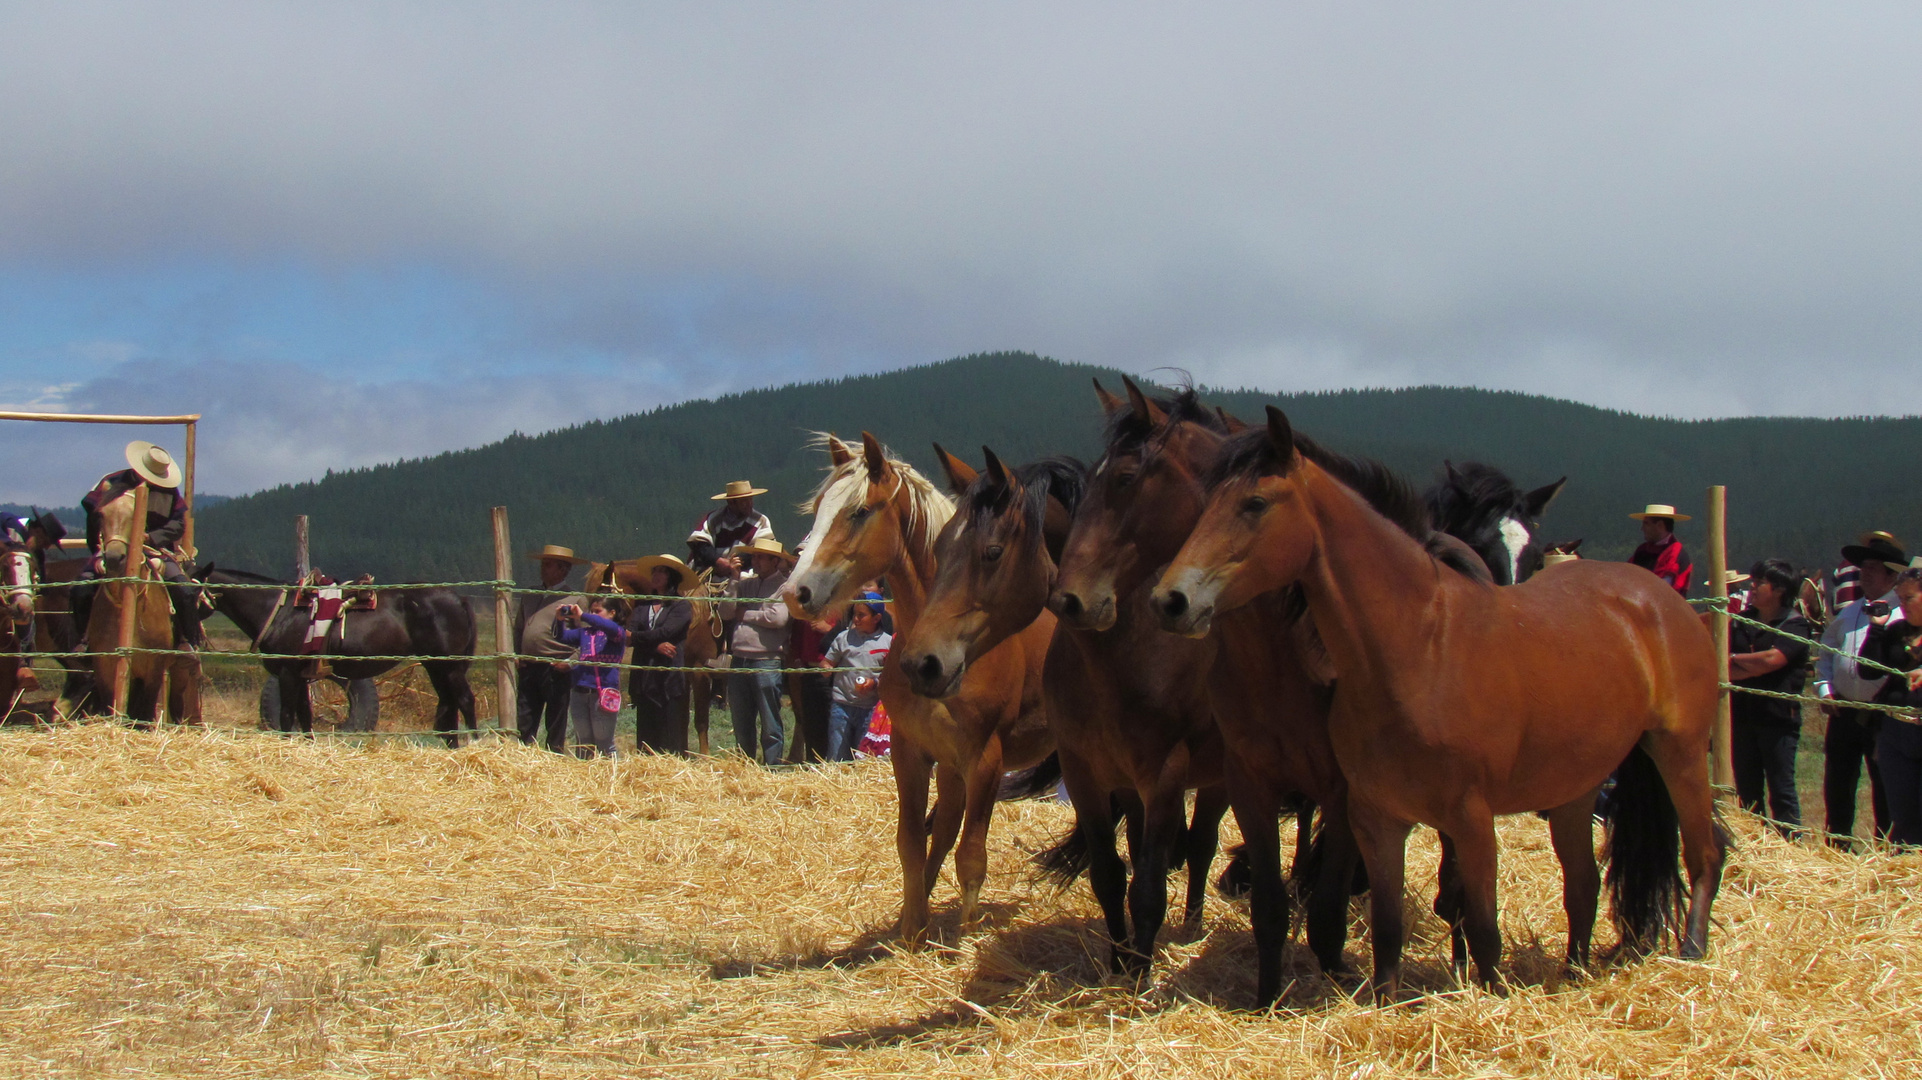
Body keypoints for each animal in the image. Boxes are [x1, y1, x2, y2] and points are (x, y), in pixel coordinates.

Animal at [196, 564, 480, 737]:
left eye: (189, 588)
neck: (280, 610)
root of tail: (458, 599)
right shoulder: (302, 676)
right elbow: (305, 716)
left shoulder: (288, 673)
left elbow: (287, 716)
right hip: (436, 667)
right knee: (449, 704)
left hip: (450, 667)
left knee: (465, 701)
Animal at [776, 432, 1053, 937]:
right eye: (820, 507)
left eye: (859, 511)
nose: (796, 593)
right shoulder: (913, 753)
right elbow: (912, 841)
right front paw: (912, 929)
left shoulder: (984, 760)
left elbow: (972, 856)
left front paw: (963, 939)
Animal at [895, 426, 1230, 976]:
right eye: (940, 549)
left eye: (992, 552)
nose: (921, 663)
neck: (1123, 655)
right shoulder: (1093, 774)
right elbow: (1114, 874)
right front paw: (1120, 963)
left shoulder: (1164, 777)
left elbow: (1150, 883)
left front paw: (1138, 972)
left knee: (1206, 844)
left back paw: (1195, 927)